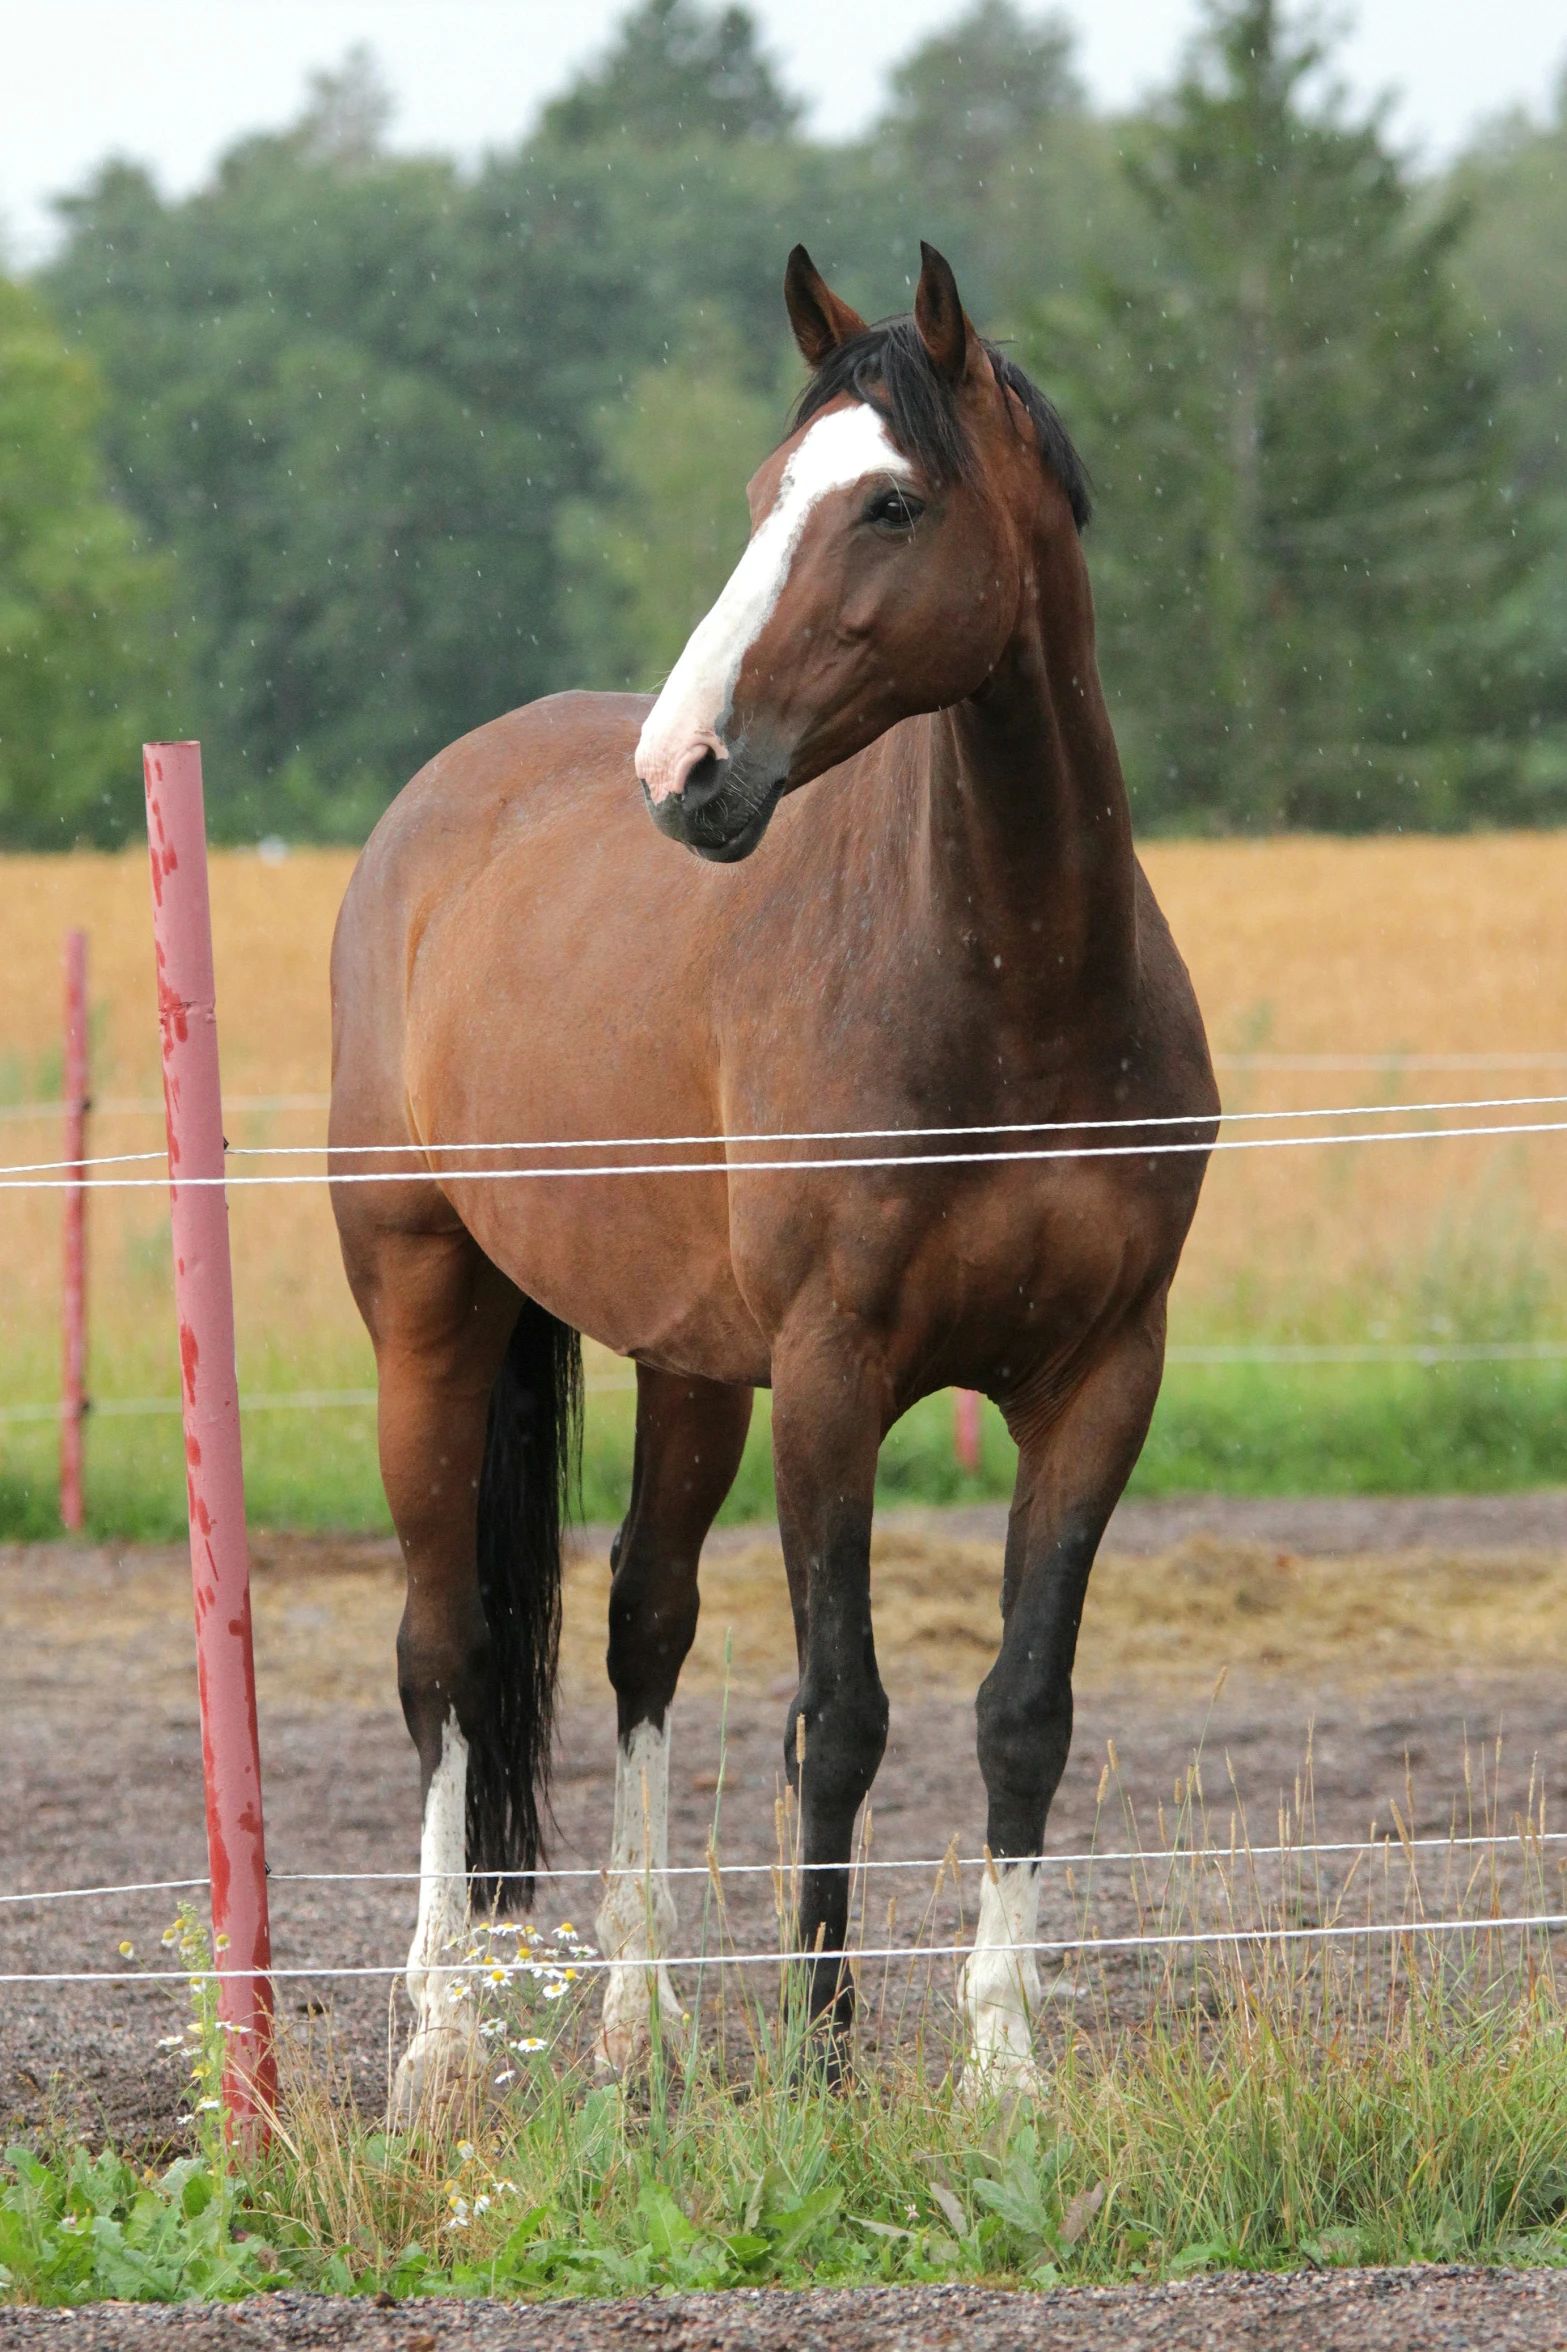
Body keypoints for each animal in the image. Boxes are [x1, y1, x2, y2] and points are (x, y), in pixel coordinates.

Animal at [327, 243, 1204, 2116]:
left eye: (892, 500)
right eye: (755, 498)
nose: (687, 772)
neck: (1016, 983)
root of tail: (441, 798)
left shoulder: (1102, 1377)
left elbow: (1021, 1708)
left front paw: (999, 2062)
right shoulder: (831, 1373)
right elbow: (841, 1710)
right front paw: (821, 2051)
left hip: (684, 1367)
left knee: (639, 1633)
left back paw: (637, 2020)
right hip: (428, 1308)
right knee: (443, 1661)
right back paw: (440, 2045)